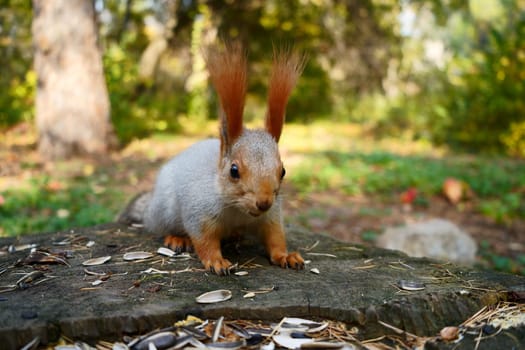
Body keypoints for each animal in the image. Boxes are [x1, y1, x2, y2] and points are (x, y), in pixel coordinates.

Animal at [116, 43, 304, 274]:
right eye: (234, 170)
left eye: (283, 171)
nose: (264, 202)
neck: (238, 211)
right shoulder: (198, 213)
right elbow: (204, 241)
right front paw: (216, 261)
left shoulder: (271, 217)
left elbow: (275, 238)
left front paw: (286, 256)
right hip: (165, 211)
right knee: (162, 227)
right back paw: (177, 238)